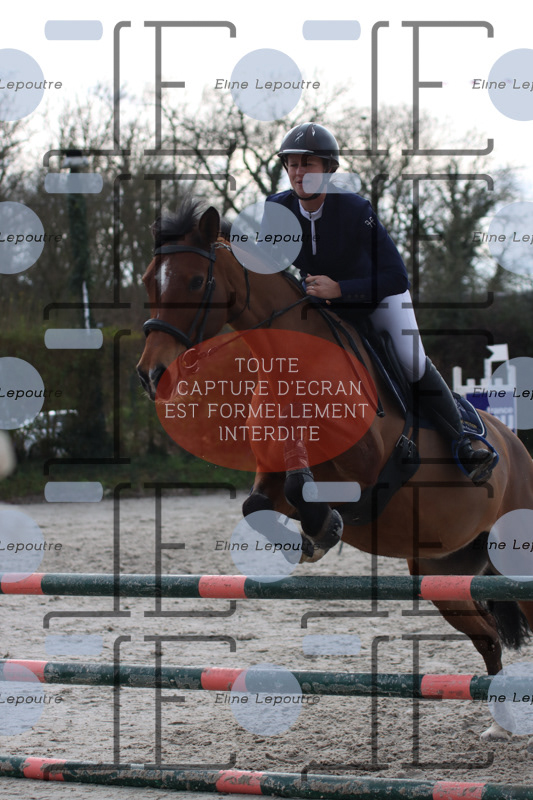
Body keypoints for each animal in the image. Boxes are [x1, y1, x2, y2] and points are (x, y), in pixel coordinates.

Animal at [137, 199, 533, 740]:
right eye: (148, 280)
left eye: (197, 282)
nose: (150, 374)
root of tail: (516, 446)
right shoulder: (271, 474)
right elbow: (260, 502)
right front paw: (312, 539)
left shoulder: (362, 464)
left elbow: (306, 484)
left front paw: (321, 530)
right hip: (444, 573)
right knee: (489, 636)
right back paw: (501, 723)